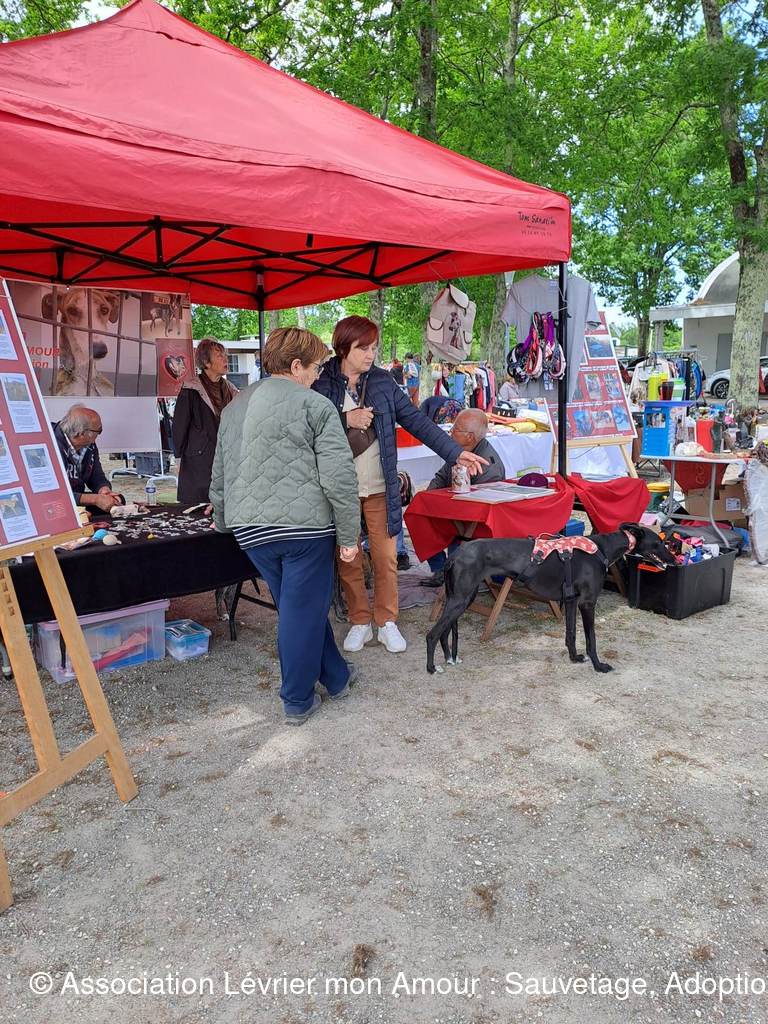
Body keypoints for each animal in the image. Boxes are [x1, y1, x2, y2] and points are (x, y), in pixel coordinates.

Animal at [425, 524, 675, 675]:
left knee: (444, 631)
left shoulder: (572, 601)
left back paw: (448, 658)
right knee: (432, 634)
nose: (673, 560)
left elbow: (571, 634)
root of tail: (455, 554)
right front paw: (598, 665)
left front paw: (575, 658)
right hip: (460, 599)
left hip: (462, 598)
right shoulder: (587, 603)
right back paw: (432, 668)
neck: (602, 549)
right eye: (660, 542)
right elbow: (591, 639)